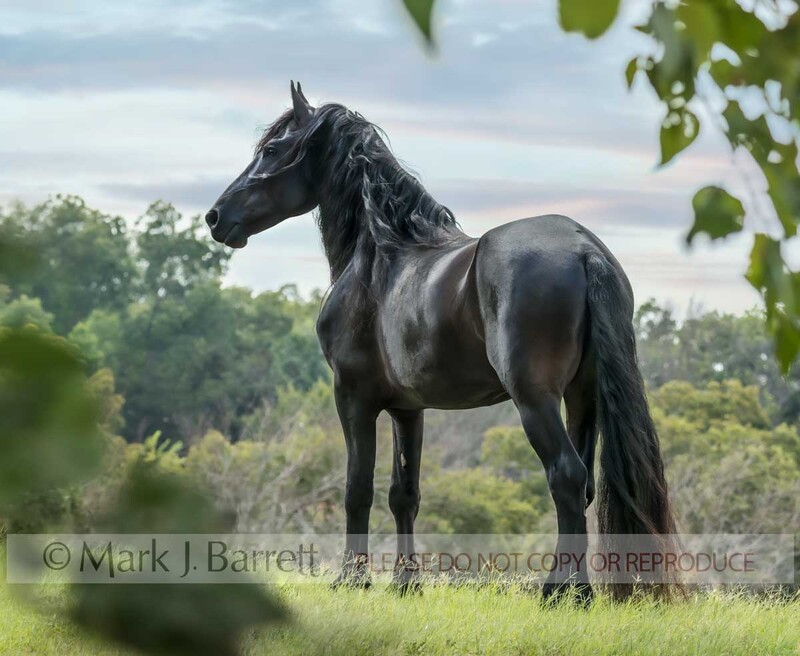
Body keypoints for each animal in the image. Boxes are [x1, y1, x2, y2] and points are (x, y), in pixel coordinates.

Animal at [206, 82, 677, 601]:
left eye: (271, 150)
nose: (215, 217)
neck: (380, 259)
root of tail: (583, 249)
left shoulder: (352, 397)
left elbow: (357, 489)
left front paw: (352, 578)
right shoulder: (407, 409)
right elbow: (403, 494)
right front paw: (406, 582)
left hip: (535, 399)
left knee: (566, 477)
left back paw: (561, 593)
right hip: (582, 398)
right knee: (586, 484)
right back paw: (575, 589)